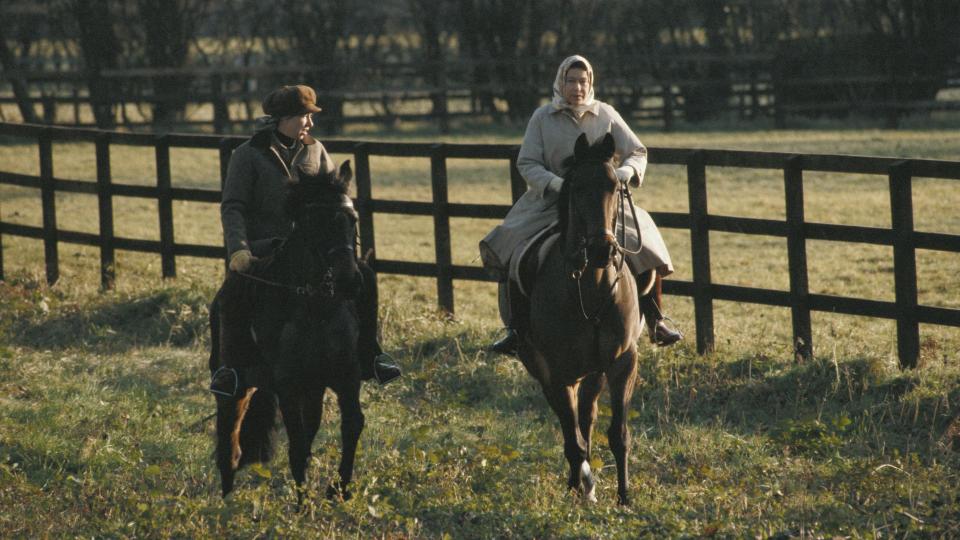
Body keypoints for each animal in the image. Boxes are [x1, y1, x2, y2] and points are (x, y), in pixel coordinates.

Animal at [209, 159, 364, 502]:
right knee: (230, 430)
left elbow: (351, 426)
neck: (317, 309)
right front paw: (303, 505)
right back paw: (225, 496)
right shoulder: (289, 385)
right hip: (236, 380)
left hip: (313, 389)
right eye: (316, 221)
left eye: (352, 219)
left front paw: (339, 489)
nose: (349, 281)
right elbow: (297, 447)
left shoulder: (345, 378)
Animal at [516, 133, 644, 504]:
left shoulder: (622, 362)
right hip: (546, 369)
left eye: (615, 186)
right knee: (570, 424)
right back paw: (580, 482)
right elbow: (572, 438)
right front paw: (580, 484)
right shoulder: (558, 370)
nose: (603, 249)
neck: (593, 287)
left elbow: (618, 434)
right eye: (576, 188)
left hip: (593, 371)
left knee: (586, 417)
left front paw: (625, 497)